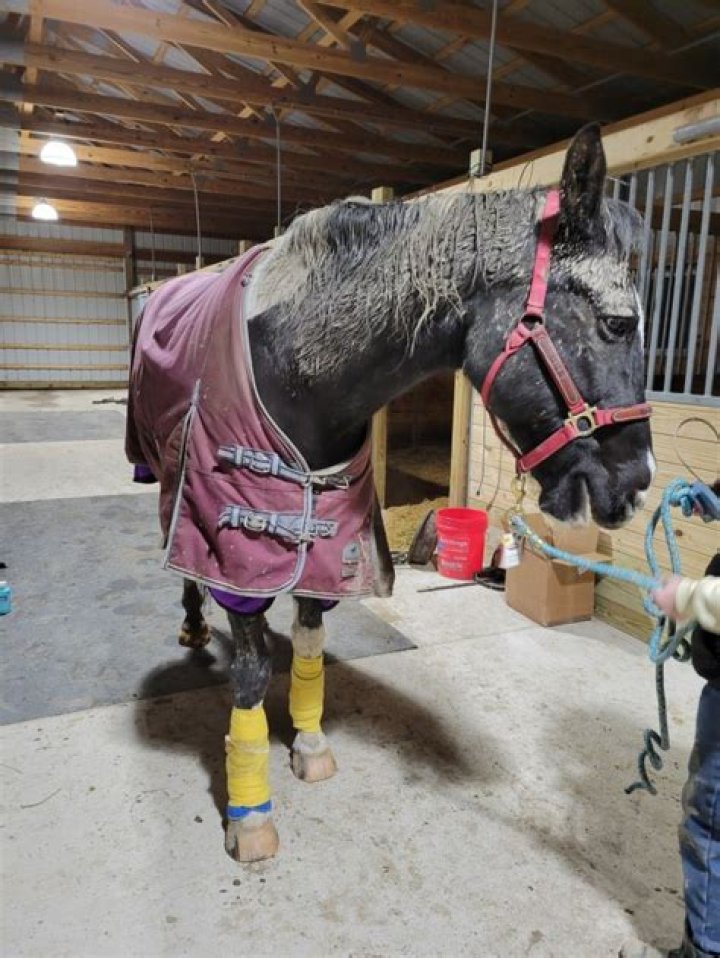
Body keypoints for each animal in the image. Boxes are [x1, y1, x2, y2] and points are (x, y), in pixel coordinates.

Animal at [126, 124, 654, 863]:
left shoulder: (328, 552)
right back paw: (194, 623)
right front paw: (249, 815)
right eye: (617, 322)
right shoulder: (241, 560)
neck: (297, 369)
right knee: (181, 559)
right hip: (166, 483)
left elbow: (311, 645)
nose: (637, 484)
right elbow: (253, 673)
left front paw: (311, 745)